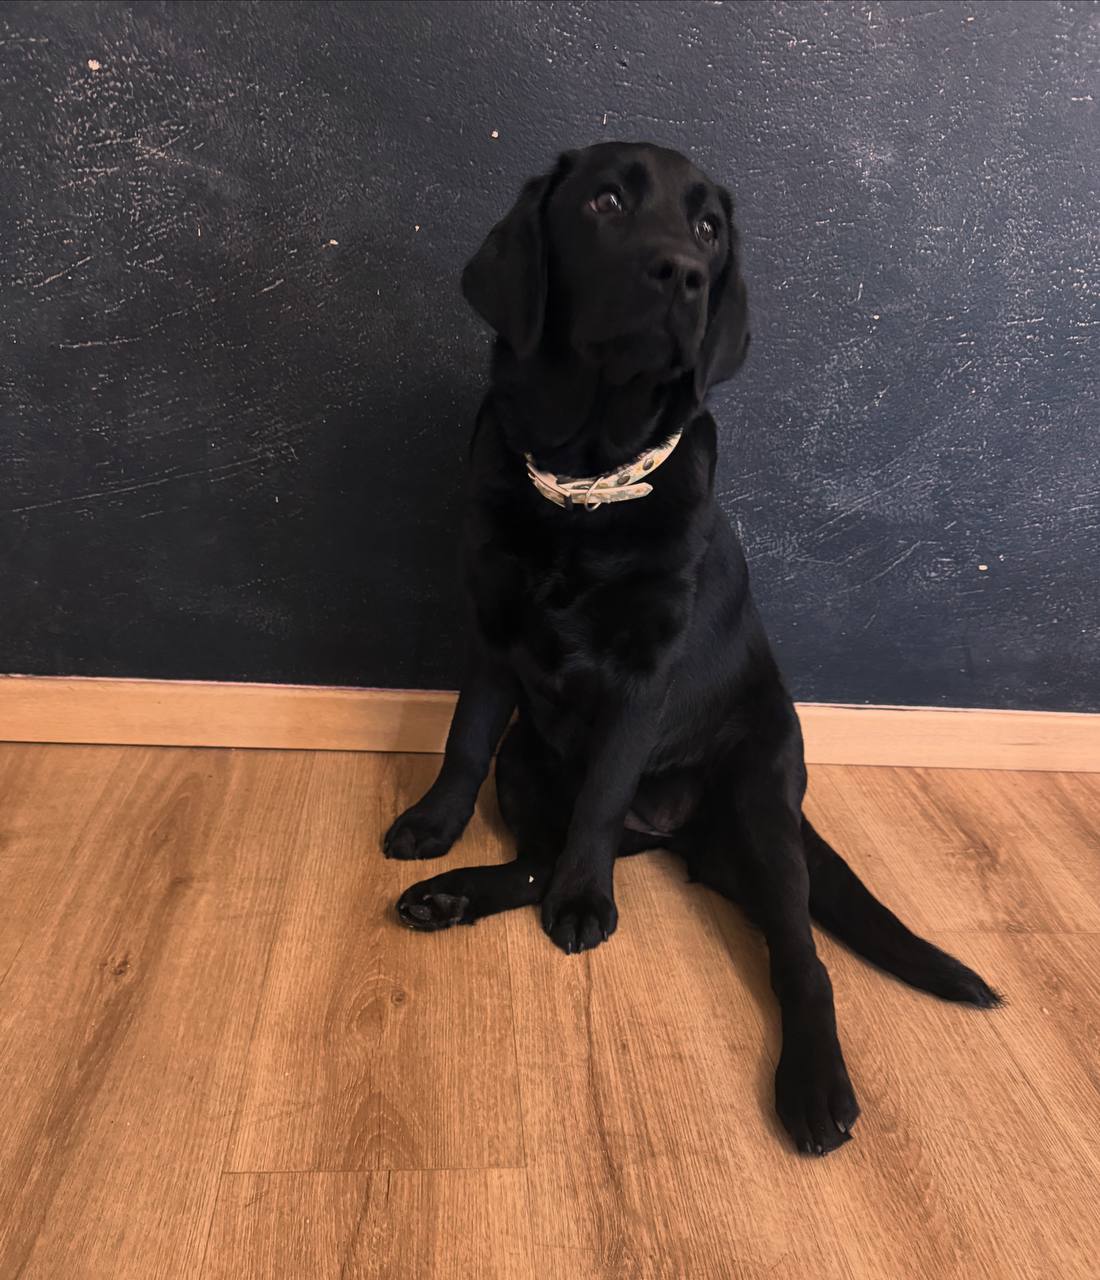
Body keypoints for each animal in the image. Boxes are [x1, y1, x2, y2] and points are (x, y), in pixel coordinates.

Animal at [383, 142, 1000, 1155]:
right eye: (603, 201)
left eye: (709, 227)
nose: (684, 273)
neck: (588, 478)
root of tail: (675, 831)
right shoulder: (492, 627)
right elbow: (464, 737)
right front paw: (433, 828)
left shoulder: (646, 676)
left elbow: (601, 794)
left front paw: (585, 907)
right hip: (528, 762)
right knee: (536, 848)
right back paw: (458, 893)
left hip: (759, 805)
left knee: (801, 957)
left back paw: (815, 1085)